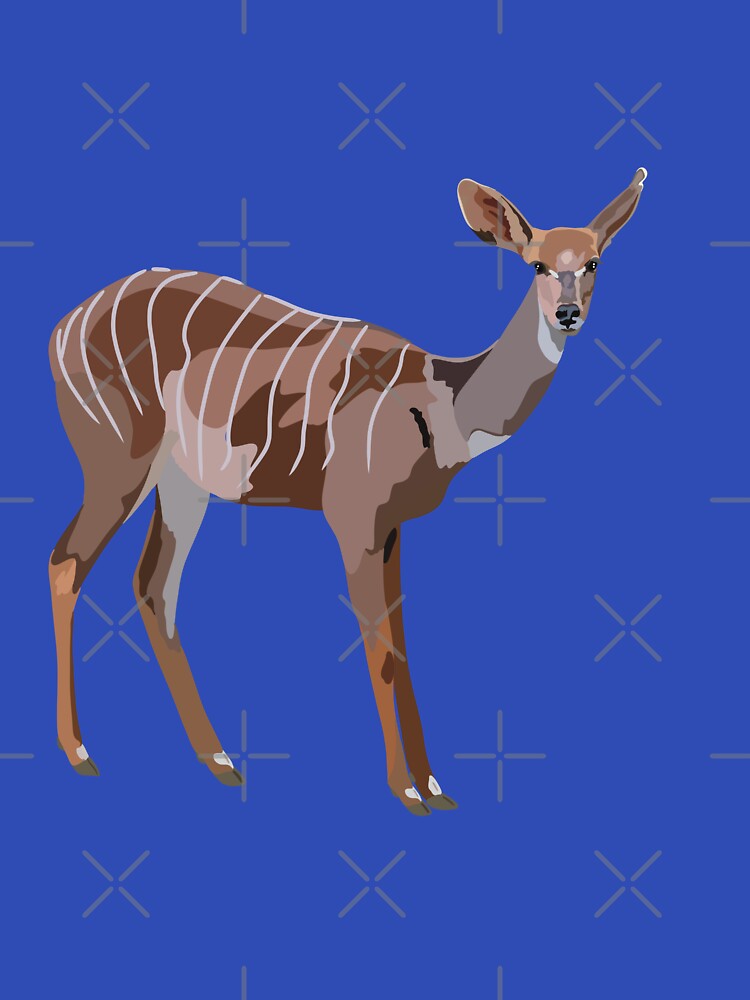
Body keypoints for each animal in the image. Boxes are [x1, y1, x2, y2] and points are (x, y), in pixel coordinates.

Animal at [49, 169, 647, 815]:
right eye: (535, 263)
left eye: (593, 261)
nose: (567, 313)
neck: (444, 407)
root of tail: (59, 330)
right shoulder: (353, 516)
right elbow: (379, 651)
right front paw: (407, 791)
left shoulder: (394, 526)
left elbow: (403, 644)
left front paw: (437, 787)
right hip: (117, 459)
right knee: (68, 562)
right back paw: (80, 753)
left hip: (184, 483)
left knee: (154, 585)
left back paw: (222, 762)